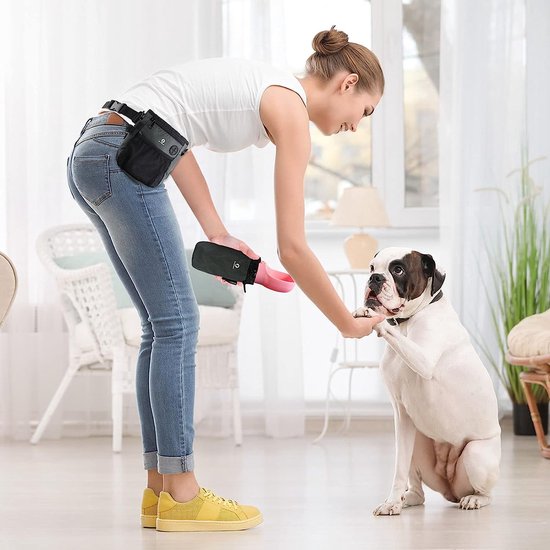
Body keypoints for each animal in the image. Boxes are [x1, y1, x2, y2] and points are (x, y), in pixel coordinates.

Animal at [356, 249, 502, 516]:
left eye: (398, 270)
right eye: (372, 267)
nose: (374, 279)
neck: (406, 322)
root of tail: (451, 490)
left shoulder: (422, 359)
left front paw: (372, 317)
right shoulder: (401, 415)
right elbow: (399, 468)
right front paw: (391, 502)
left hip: (476, 454)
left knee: (486, 492)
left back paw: (475, 499)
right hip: (416, 443)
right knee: (418, 490)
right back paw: (405, 499)